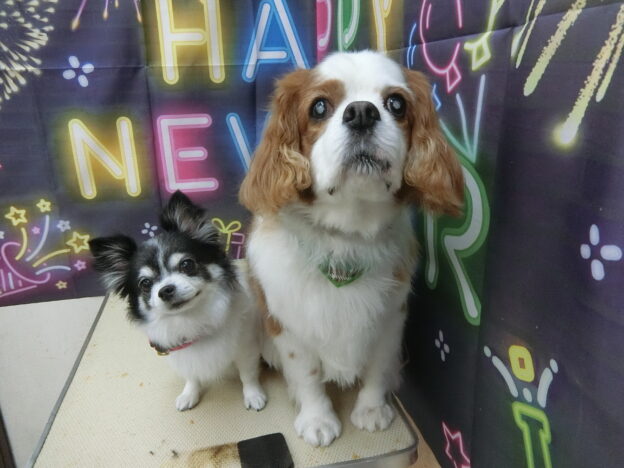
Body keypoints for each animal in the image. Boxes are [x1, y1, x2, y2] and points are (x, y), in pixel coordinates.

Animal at [88, 191, 267, 413]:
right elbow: (191, 376)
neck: (190, 319)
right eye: (145, 283)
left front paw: (253, 395)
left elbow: (247, 374)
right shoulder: (184, 357)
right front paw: (189, 394)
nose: (165, 290)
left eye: (187, 264)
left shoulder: (246, 348)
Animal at [239, 50, 464, 446]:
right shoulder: (290, 326)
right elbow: (307, 373)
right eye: (318, 107)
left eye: (396, 103)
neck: (345, 236)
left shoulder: (390, 319)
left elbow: (377, 368)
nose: (361, 112)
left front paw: (371, 410)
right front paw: (317, 419)